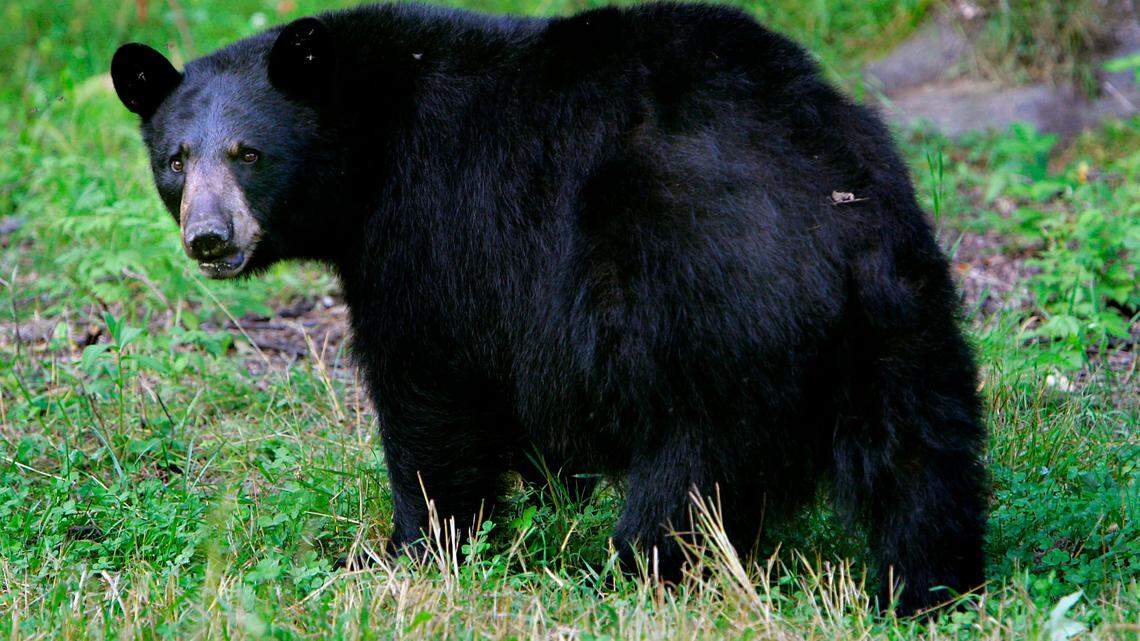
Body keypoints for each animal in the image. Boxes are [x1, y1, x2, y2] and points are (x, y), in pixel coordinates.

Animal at [111, 1, 988, 615]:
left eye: (248, 153)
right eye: (175, 159)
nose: (210, 237)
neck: (367, 143)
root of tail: (829, 205)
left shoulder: (434, 229)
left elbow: (428, 393)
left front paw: (409, 551)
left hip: (707, 308)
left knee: (692, 473)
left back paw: (636, 570)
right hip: (901, 312)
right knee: (923, 454)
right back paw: (929, 586)